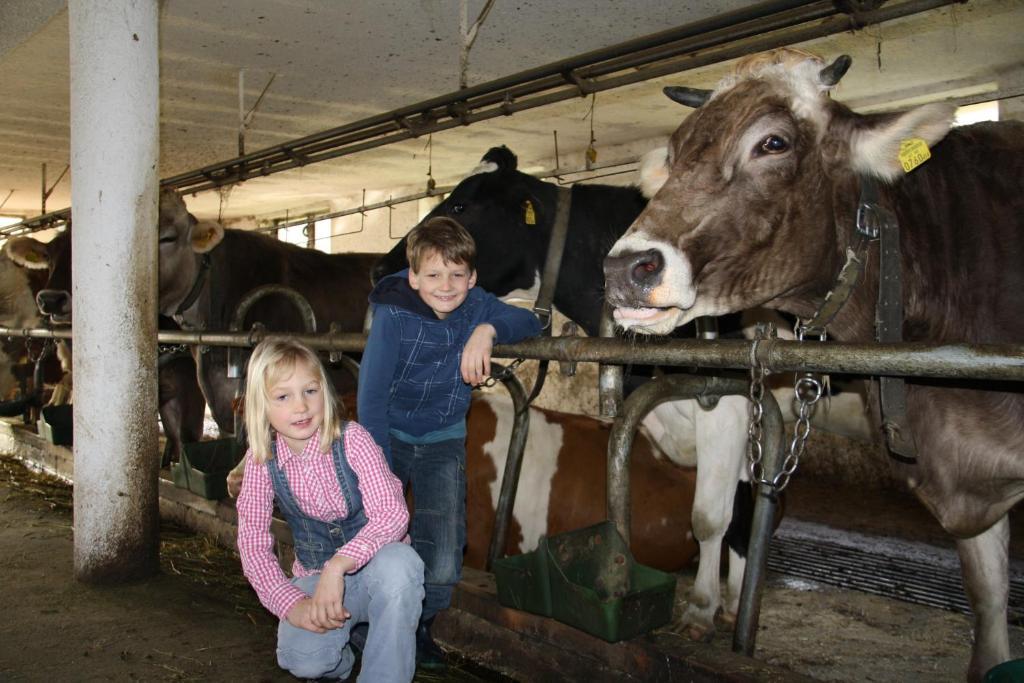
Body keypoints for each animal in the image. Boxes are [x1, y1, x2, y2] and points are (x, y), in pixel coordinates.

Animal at [602, 46, 1024, 679]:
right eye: (674, 155)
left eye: (773, 143)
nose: (626, 269)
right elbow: (988, 596)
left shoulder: (730, 411)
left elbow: (713, 515)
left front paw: (705, 612)